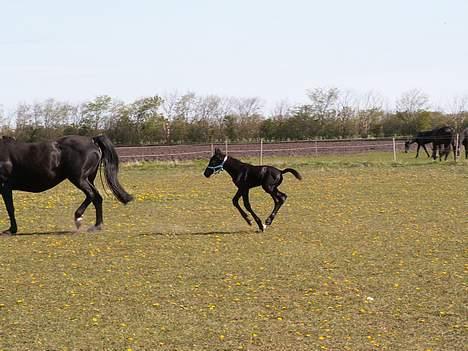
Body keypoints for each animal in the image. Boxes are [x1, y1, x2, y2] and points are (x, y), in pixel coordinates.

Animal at [0, 136, 133, 235]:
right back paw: (96, 226)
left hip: (79, 179)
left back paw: (78, 218)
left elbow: (10, 208)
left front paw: (11, 230)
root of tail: (92, 141)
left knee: (91, 195)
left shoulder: (4, 186)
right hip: (88, 179)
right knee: (97, 198)